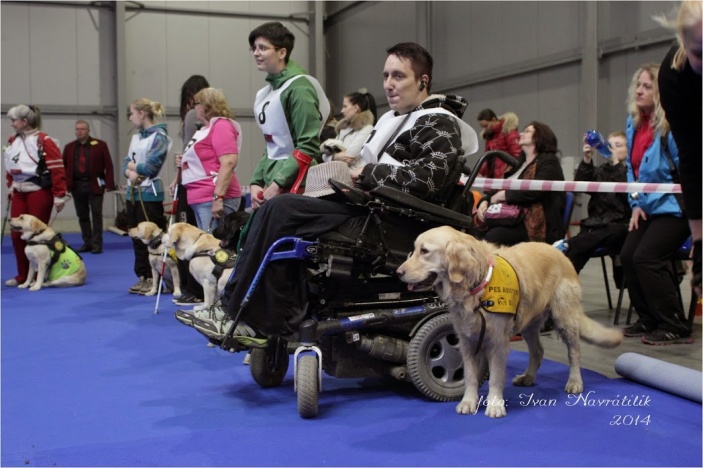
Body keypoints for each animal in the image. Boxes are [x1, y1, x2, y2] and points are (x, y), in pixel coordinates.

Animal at [396, 225, 620, 418]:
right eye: (414, 250)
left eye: (424, 251)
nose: (398, 272)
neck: (476, 285)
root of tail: (559, 251)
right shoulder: (467, 339)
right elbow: (470, 376)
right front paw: (468, 402)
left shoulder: (497, 341)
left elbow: (495, 377)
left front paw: (495, 405)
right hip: (529, 323)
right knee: (538, 351)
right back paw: (528, 377)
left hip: (565, 317)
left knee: (574, 353)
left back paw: (574, 382)